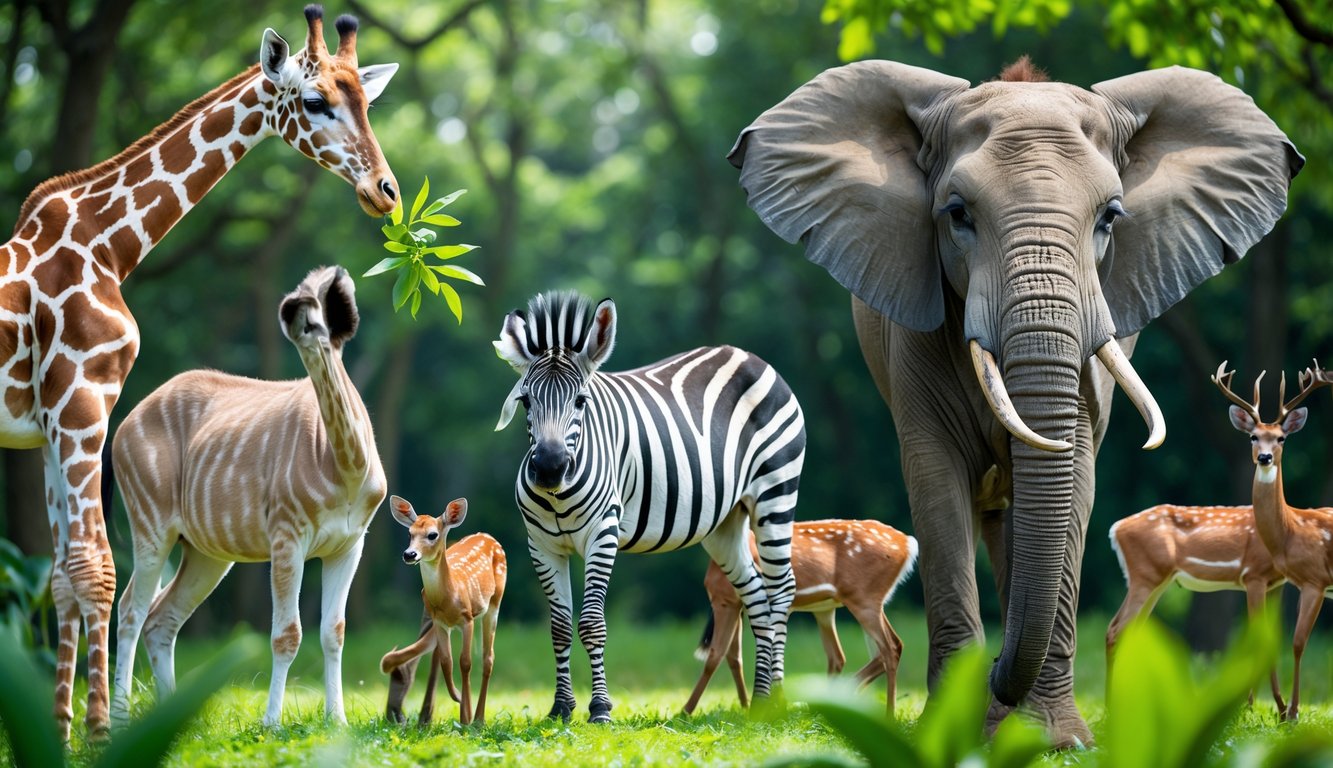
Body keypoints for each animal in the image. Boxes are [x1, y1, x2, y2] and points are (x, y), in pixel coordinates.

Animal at [493, 290, 805, 723]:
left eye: (581, 401)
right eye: (524, 401)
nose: (550, 469)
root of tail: (750, 357)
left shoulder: (602, 532)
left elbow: (591, 623)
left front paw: (600, 708)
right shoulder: (541, 544)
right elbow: (559, 626)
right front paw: (561, 708)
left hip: (775, 493)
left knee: (781, 590)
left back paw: (776, 697)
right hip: (724, 523)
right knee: (757, 595)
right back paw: (760, 702)